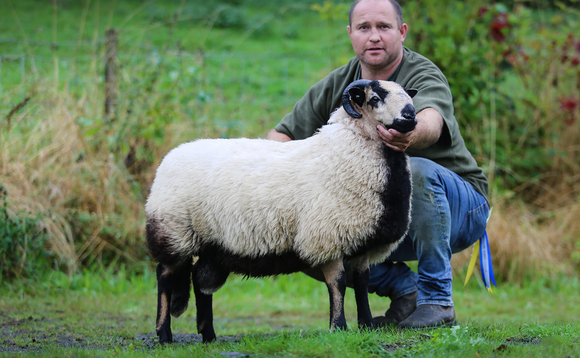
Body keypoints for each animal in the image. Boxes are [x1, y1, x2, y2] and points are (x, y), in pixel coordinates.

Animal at [144, 79, 416, 342]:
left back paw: (209, 336)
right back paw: (164, 335)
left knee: (201, 283)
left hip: (213, 245)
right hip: (174, 232)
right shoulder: (326, 238)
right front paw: (338, 327)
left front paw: (367, 325)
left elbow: (361, 284)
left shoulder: (363, 243)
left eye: (406, 94)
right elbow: (337, 283)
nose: (410, 115)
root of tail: (170, 158)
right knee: (165, 276)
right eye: (375, 99)